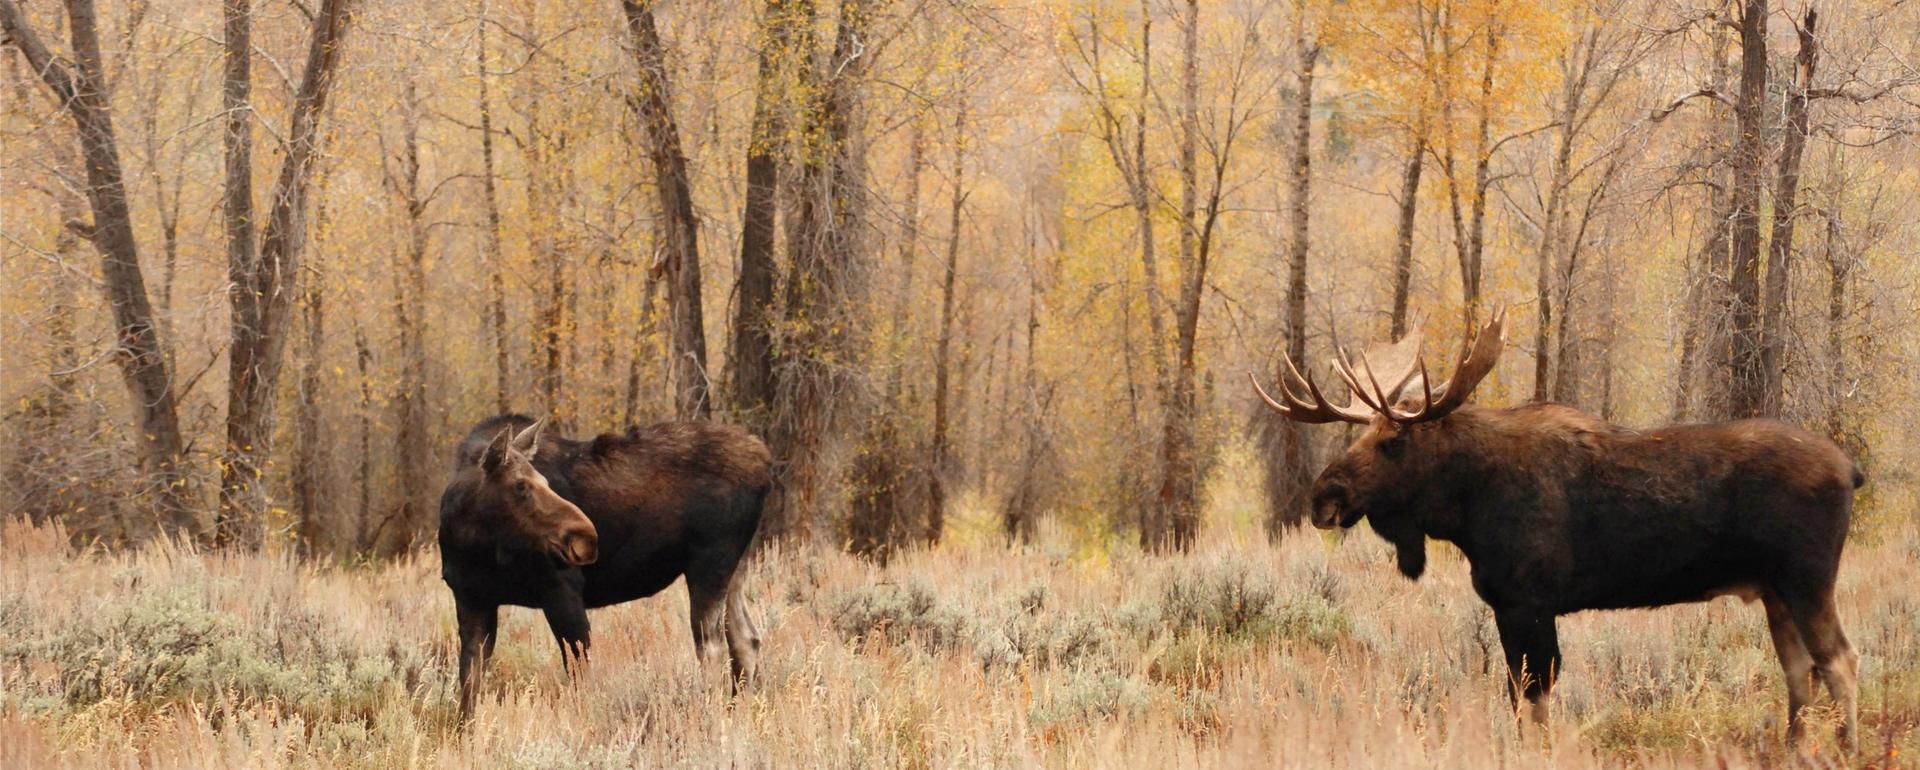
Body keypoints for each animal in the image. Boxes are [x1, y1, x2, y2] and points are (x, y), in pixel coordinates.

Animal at [439, 414, 768, 721]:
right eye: (520, 485)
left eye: (546, 482)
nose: (586, 537)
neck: (473, 546)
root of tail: (765, 463)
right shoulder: (472, 600)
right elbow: (469, 686)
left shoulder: (561, 590)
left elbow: (579, 674)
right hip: (735, 567)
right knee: (746, 639)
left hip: (710, 560)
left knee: (712, 647)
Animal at [1244, 309, 1858, 748]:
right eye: (1360, 434)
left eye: (1393, 440)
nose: (1323, 497)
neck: (1466, 507)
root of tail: (1852, 470)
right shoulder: (1509, 607)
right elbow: (1521, 697)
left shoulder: (1528, 602)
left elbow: (1534, 700)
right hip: (1775, 591)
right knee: (1800, 671)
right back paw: (1794, 748)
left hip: (1807, 580)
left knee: (1841, 662)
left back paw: (1845, 749)